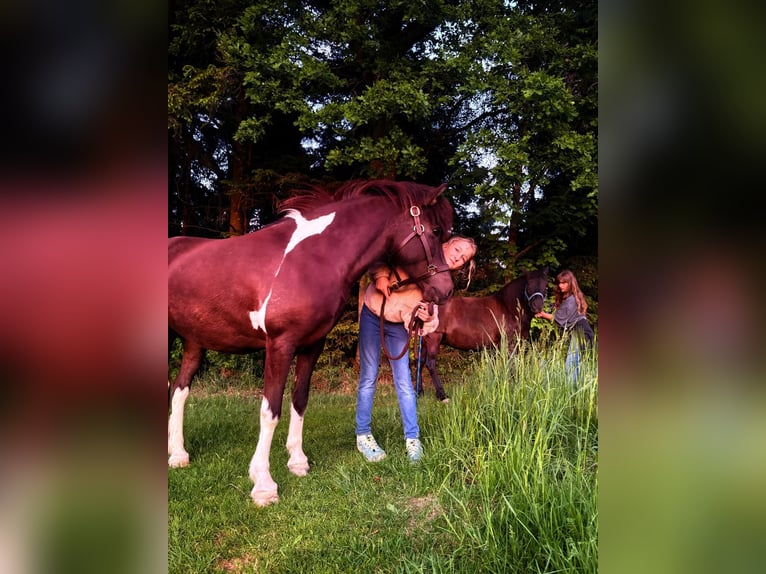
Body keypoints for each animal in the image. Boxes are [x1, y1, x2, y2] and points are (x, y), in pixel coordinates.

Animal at [168, 180, 456, 506]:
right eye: (435, 231)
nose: (446, 290)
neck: (314, 258)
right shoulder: (279, 345)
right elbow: (270, 411)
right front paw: (263, 485)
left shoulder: (312, 345)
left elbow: (300, 399)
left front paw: (297, 462)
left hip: (193, 341)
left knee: (179, 391)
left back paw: (178, 454)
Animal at [417, 268, 549, 402]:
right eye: (528, 285)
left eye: (546, 286)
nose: (537, 307)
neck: (508, 307)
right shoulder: (509, 343)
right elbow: (510, 364)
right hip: (433, 338)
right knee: (430, 364)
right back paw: (442, 395)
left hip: (424, 341)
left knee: (420, 362)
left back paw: (419, 392)